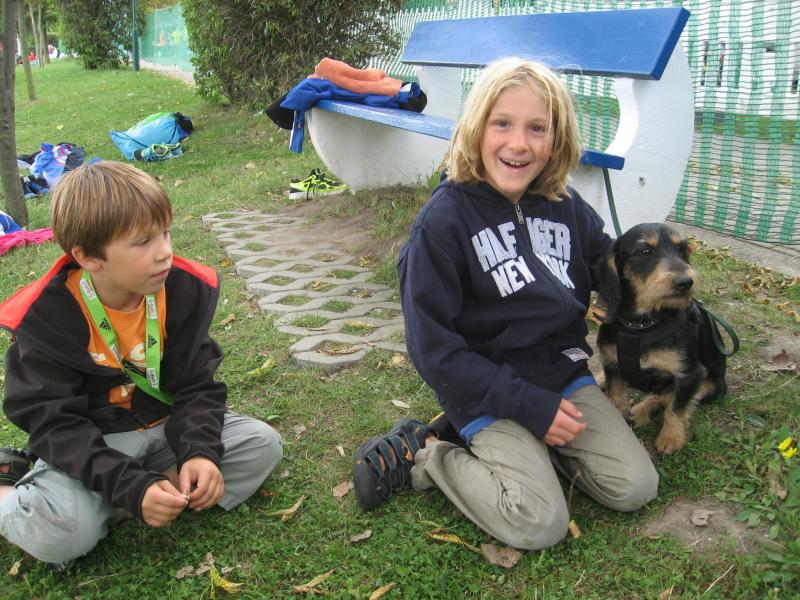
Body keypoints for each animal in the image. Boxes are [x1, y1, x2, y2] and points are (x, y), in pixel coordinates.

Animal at [593, 223, 728, 454]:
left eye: (682, 249)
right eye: (645, 251)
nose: (686, 282)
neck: (641, 326)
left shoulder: (691, 374)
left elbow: (676, 407)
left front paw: (671, 437)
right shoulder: (612, 365)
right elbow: (614, 396)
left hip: (710, 386)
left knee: (663, 397)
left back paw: (640, 412)